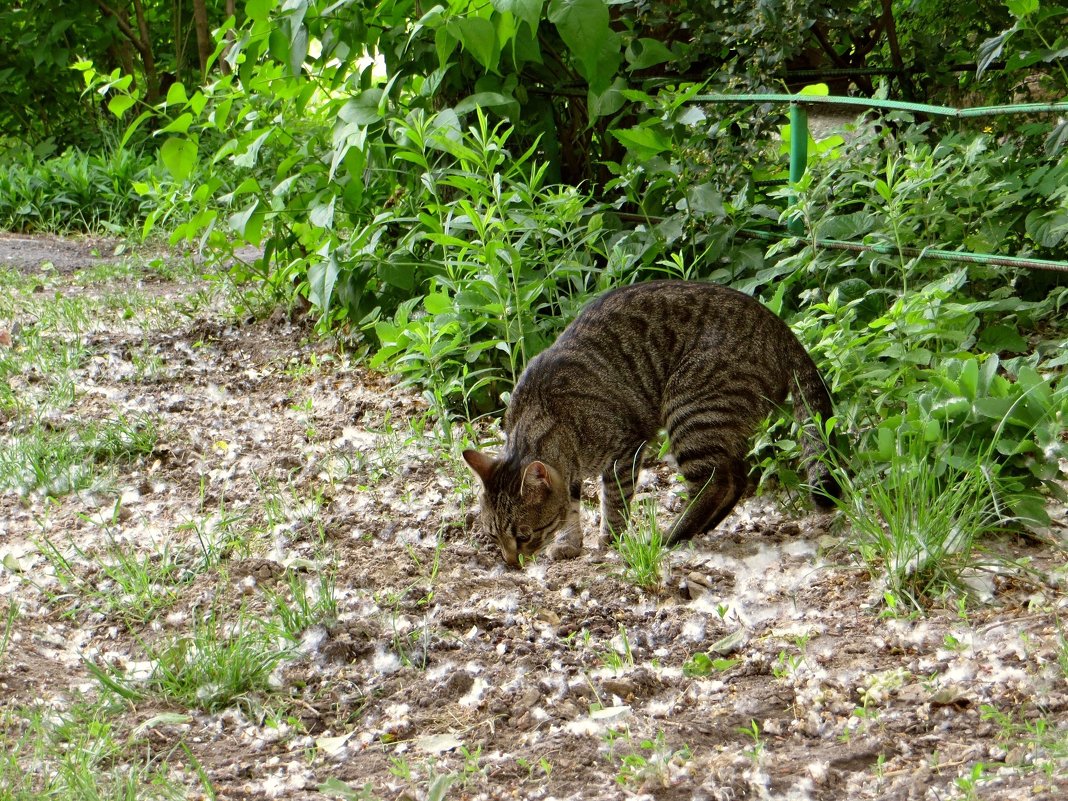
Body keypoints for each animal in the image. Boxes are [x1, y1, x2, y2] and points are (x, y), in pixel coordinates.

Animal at [463, 281, 837, 572]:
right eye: (493, 535)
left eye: (523, 534)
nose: (511, 562)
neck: (543, 413)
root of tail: (781, 329)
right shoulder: (570, 473)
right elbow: (571, 508)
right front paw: (570, 541)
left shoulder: (624, 450)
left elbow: (613, 501)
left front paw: (609, 539)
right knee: (737, 477)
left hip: (690, 409)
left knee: (716, 481)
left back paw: (673, 535)